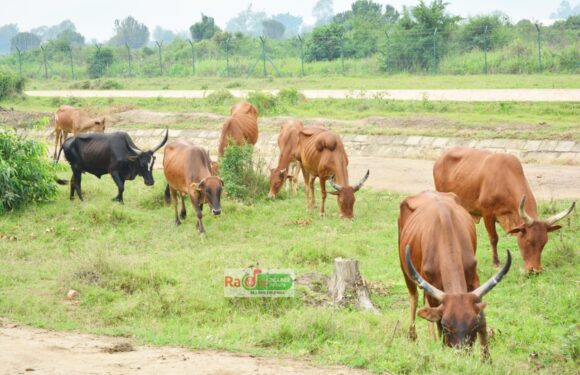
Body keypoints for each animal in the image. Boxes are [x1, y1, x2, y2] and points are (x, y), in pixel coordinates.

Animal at [398, 192, 512, 360]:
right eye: (446, 325)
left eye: (473, 325)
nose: (461, 354)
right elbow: (437, 321)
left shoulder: (473, 280)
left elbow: (483, 319)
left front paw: (486, 358)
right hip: (405, 268)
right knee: (414, 297)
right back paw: (413, 336)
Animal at [432, 147, 572, 274]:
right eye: (528, 241)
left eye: (544, 243)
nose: (535, 270)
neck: (505, 178)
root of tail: (440, 158)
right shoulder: (487, 213)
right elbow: (494, 238)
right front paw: (496, 262)